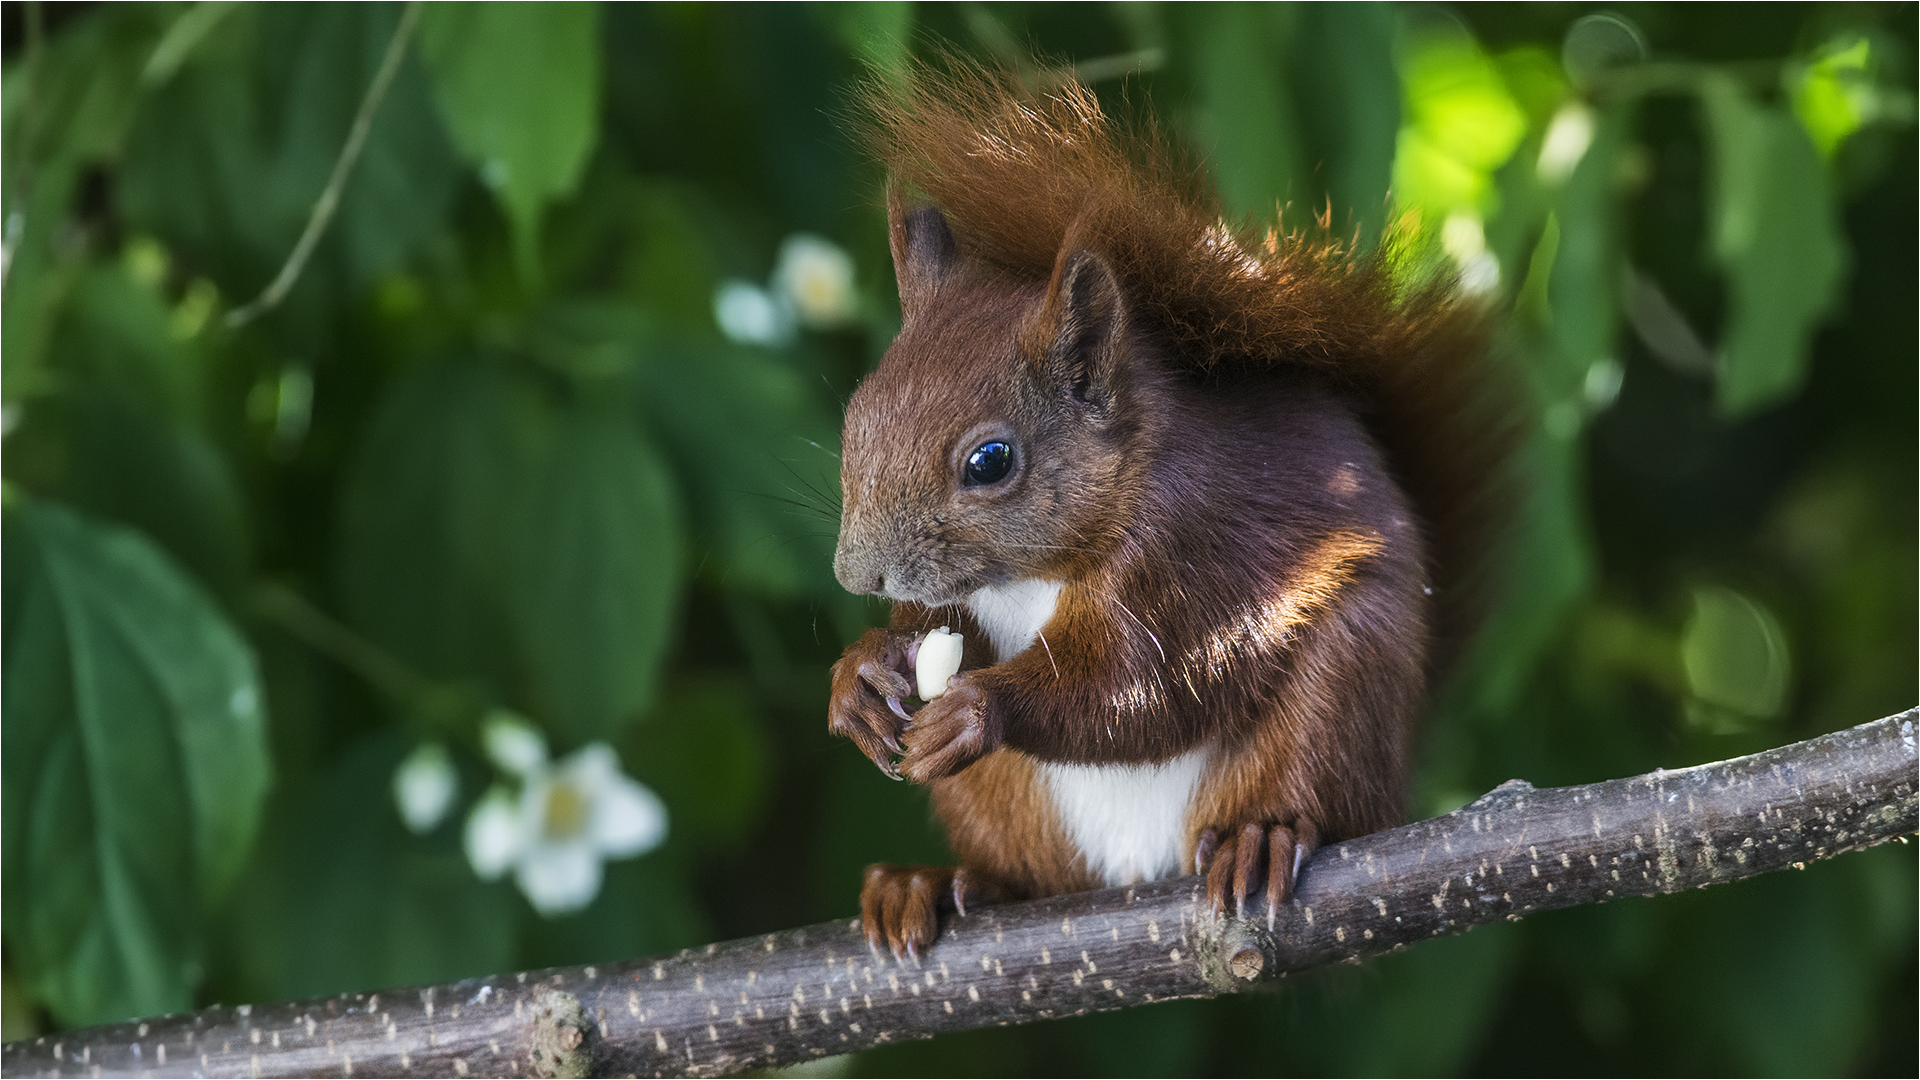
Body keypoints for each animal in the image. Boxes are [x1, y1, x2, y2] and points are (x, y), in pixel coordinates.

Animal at [833, 67, 1505, 953]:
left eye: (991, 461)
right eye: (855, 416)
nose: (854, 575)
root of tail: (1134, 868)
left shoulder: (1190, 552)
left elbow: (1143, 690)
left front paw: (979, 707)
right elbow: (939, 632)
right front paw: (860, 673)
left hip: (1346, 689)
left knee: (1315, 789)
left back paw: (1263, 837)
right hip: (1002, 807)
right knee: (1028, 879)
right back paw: (931, 884)